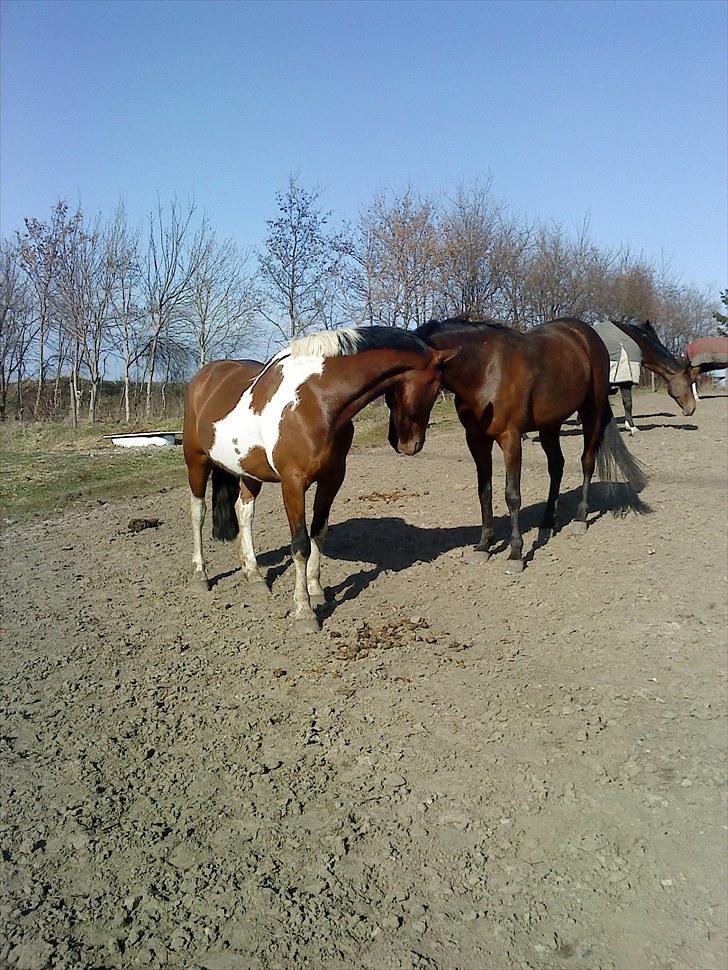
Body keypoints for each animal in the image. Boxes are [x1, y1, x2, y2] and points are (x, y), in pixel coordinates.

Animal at [182, 328, 456, 636]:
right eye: (436, 387)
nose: (409, 445)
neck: (315, 400)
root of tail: (203, 377)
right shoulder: (293, 483)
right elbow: (300, 544)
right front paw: (304, 611)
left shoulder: (332, 478)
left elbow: (318, 533)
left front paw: (316, 590)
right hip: (196, 461)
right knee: (198, 512)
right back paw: (200, 575)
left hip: (249, 471)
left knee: (244, 512)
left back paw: (254, 575)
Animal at [416, 314, 648, 572]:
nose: (408, 441)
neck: (485, 368)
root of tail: (588, 335)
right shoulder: (476, 439)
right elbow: (484, 491)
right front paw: (484, 545)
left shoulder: (511, 438)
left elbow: (512, 495)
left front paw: (516, 553)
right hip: (550, 425)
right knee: (556, 466)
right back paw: (547, 522)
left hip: (591, 411)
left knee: (587, 461)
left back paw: (580, 518)